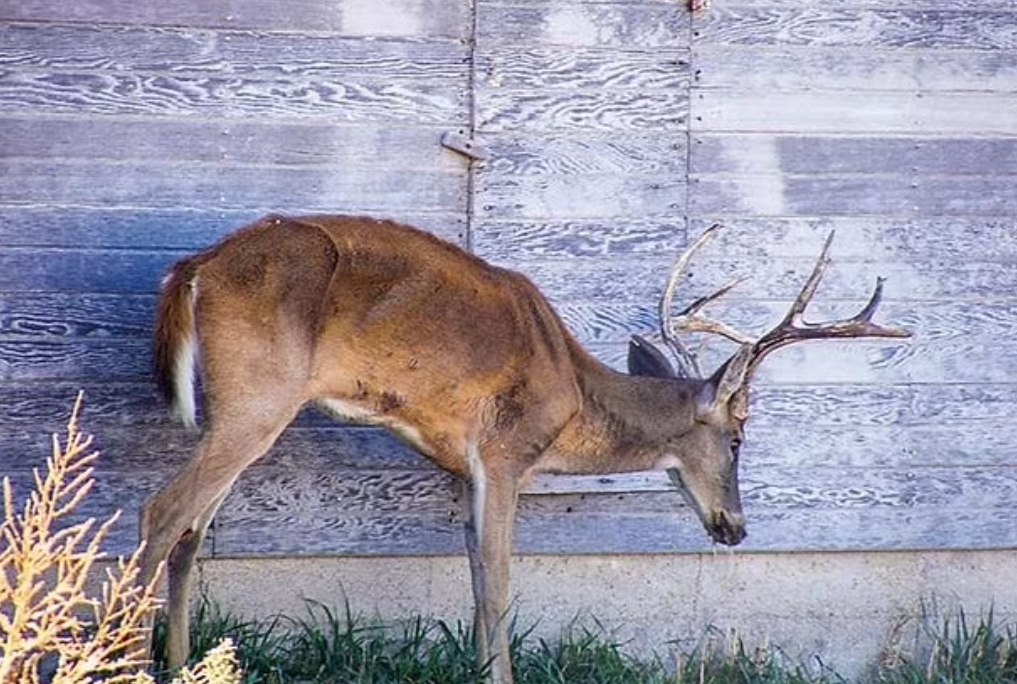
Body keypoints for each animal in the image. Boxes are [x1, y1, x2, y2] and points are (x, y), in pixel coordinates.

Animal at [139, 214, 911, 682]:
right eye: (739, 438)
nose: (736, 529)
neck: (572, 394)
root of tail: (193, 268)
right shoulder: (507, 451)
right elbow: (501, 579)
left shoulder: (464, 468)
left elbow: (477, 576)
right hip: (260, 393)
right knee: (162, 512)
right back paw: (131, 660)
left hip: (239, 406)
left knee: (192, 529)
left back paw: (183, 664)